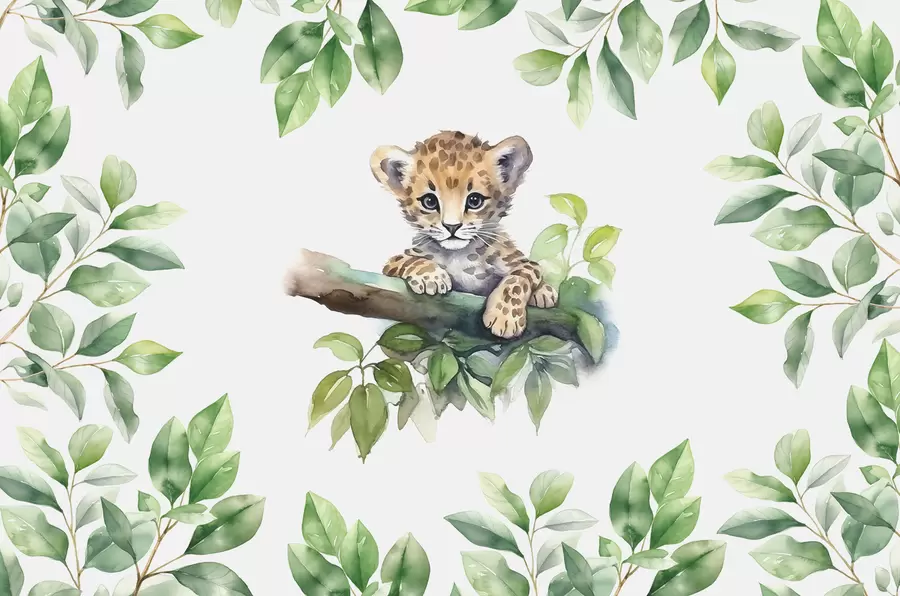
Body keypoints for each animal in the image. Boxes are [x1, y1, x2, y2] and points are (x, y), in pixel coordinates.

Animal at [370, 130, 558, 339]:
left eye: (474, 200)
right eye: (429, 201)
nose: (452, 226)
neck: (461, 254)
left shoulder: (517, 260)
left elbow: (522, 275)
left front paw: (506, 316)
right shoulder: (395, 261)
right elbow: (408, 260)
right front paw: (432, 277)